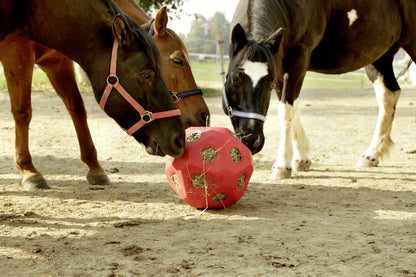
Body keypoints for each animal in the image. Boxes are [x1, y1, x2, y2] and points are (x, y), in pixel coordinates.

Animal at [0, 0, 185, 189]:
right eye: (146, 75)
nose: (179, 140)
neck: (27, 8)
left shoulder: (56, 61)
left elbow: (77, 107)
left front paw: (95, 168)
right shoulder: (17, 54)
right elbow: (23, 111)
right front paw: (30, 171)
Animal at [224, 0, 416, 179]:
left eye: (269, 83)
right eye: (235, 79)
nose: (253, 140)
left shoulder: (298, 61)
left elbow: (286, 111)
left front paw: (282, 166)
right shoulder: (280, 66)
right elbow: (290, 108)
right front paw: (302, 159)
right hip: (380, 57)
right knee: (389, 96)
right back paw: (372, 155)